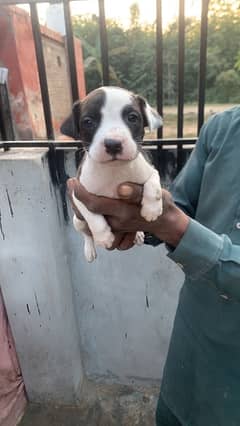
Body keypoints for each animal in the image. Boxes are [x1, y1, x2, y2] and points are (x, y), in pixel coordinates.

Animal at [61, 85, 163, 262]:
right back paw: (89, 249)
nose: (113, 144)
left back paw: (138, 233)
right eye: (88, 122)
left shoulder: (150, 169)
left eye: (132, 117)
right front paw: (104, 237)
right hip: (77, 220)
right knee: (86, 233)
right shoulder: (77, 193)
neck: (114, 169)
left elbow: (154, 185)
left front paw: (151, 209)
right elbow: (93, 216)